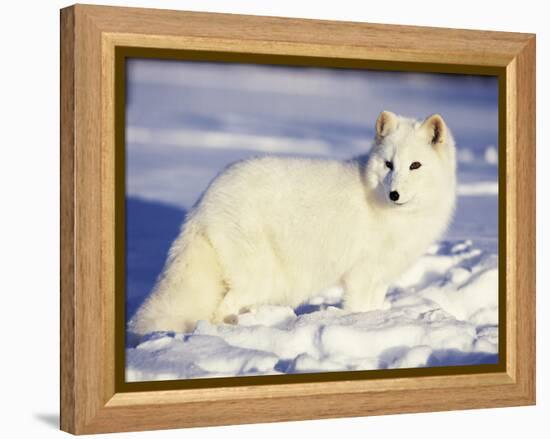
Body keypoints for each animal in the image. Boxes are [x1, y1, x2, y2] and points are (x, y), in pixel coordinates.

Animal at [129, 111, 458, 336]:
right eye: (388, 164)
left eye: (415, 165)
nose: (394, 194)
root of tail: (204, 201)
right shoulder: (361, 275)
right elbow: (359, 309)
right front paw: (363, 326)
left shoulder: (380, 276)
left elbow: (375, 306)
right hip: (260, 276)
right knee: (219, 310)